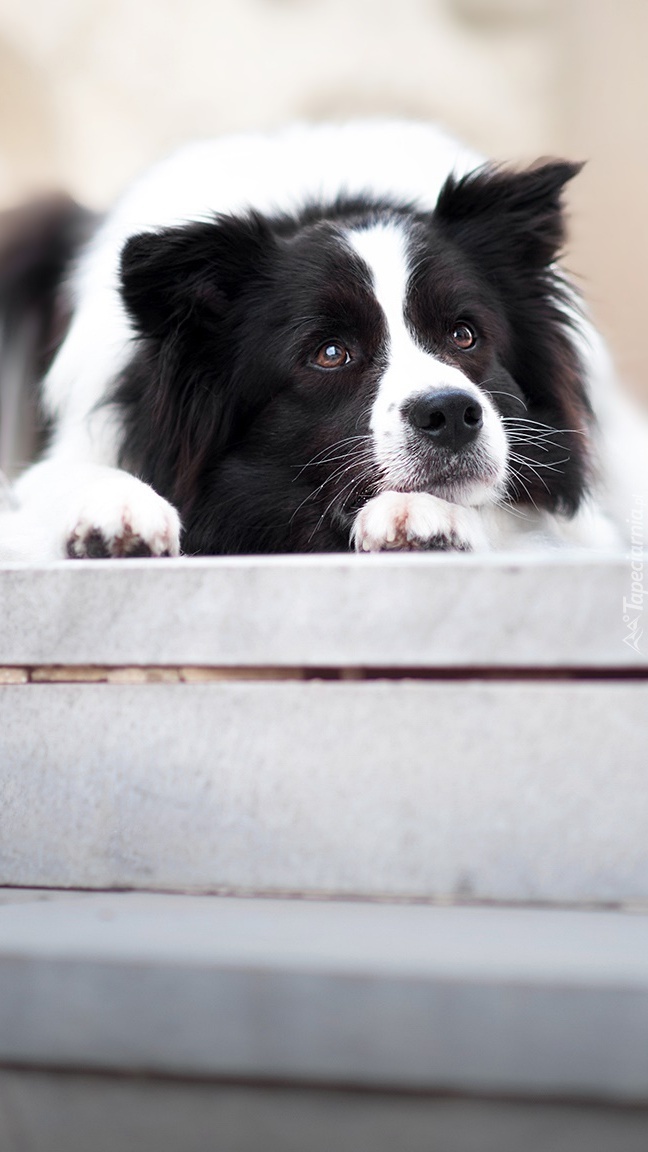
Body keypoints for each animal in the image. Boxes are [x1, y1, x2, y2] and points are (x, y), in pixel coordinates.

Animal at [0, 121, 641, 557]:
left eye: (464, 335)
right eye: (330, 353)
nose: (452, 413)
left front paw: (418, 512)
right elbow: (64, 479)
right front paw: (118, 508)